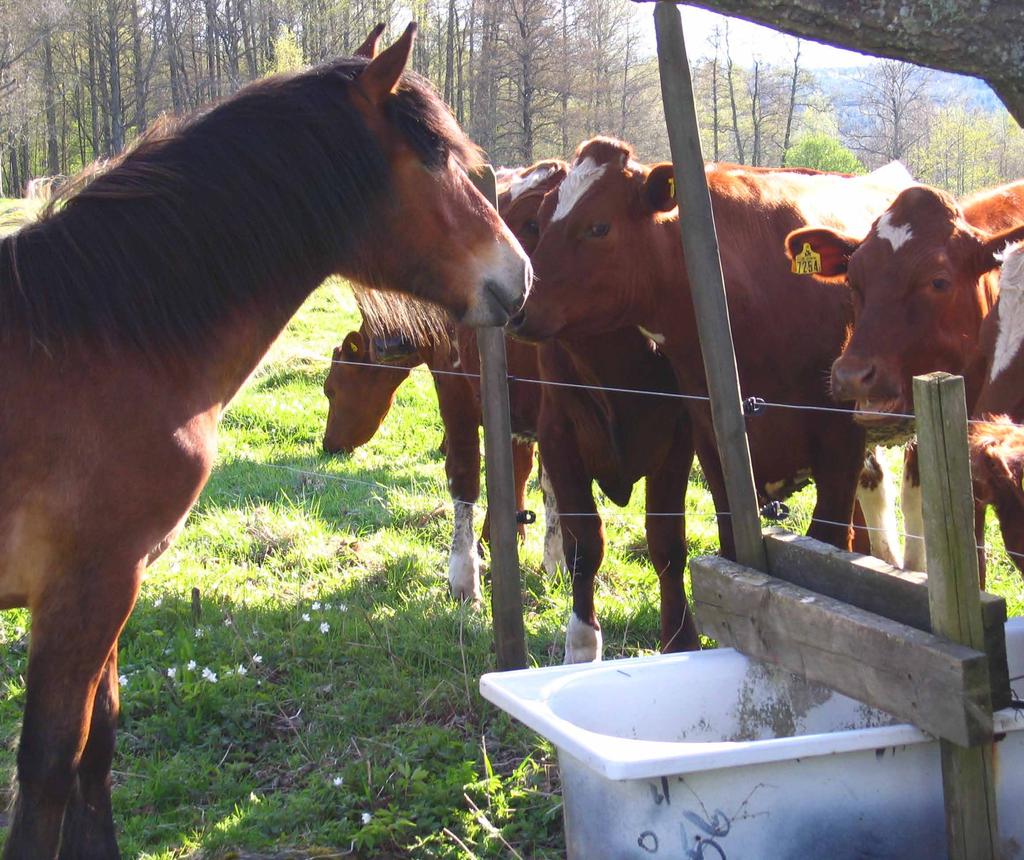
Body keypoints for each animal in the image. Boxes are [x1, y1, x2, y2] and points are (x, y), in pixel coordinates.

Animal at [0, 23, 528, 855]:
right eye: (437, 159)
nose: (520, 275)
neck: (95, 341)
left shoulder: (111, 588)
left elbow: (97, 747)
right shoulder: (86, 588)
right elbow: (51, 766)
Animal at [507, 137, 917, 556]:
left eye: (599, 226)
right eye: (540, 221)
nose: (518, 308)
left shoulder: (840, 447)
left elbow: (828, 537)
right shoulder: (712, 445)